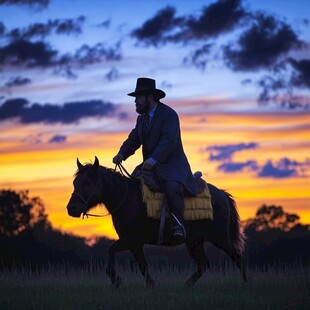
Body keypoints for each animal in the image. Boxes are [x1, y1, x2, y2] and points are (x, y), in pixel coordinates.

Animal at [66, 157, 247, 288]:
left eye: (88, 182)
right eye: (75, 182)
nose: (71, 208)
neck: (127, 199)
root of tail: (222, 194)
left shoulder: (131, 240)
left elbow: (112, 250)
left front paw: (116, 279)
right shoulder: (134, 244)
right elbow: (142, 265)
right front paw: (150, 285)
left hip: (220, 238)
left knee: (237, 256)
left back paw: (246, 283)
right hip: (195, 241)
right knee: (203, 264)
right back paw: (186, 286)